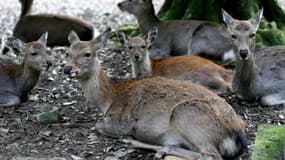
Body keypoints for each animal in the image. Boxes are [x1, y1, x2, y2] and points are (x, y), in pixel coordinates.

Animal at [62, 28, 246, 159]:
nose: (67, 69)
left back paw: (142, 143)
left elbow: (98, 125)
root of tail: (237, 133)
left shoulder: (120, 121)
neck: (109, 99)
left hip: (186, 115)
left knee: (210, 156)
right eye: (68, 53)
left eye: (87, 54)